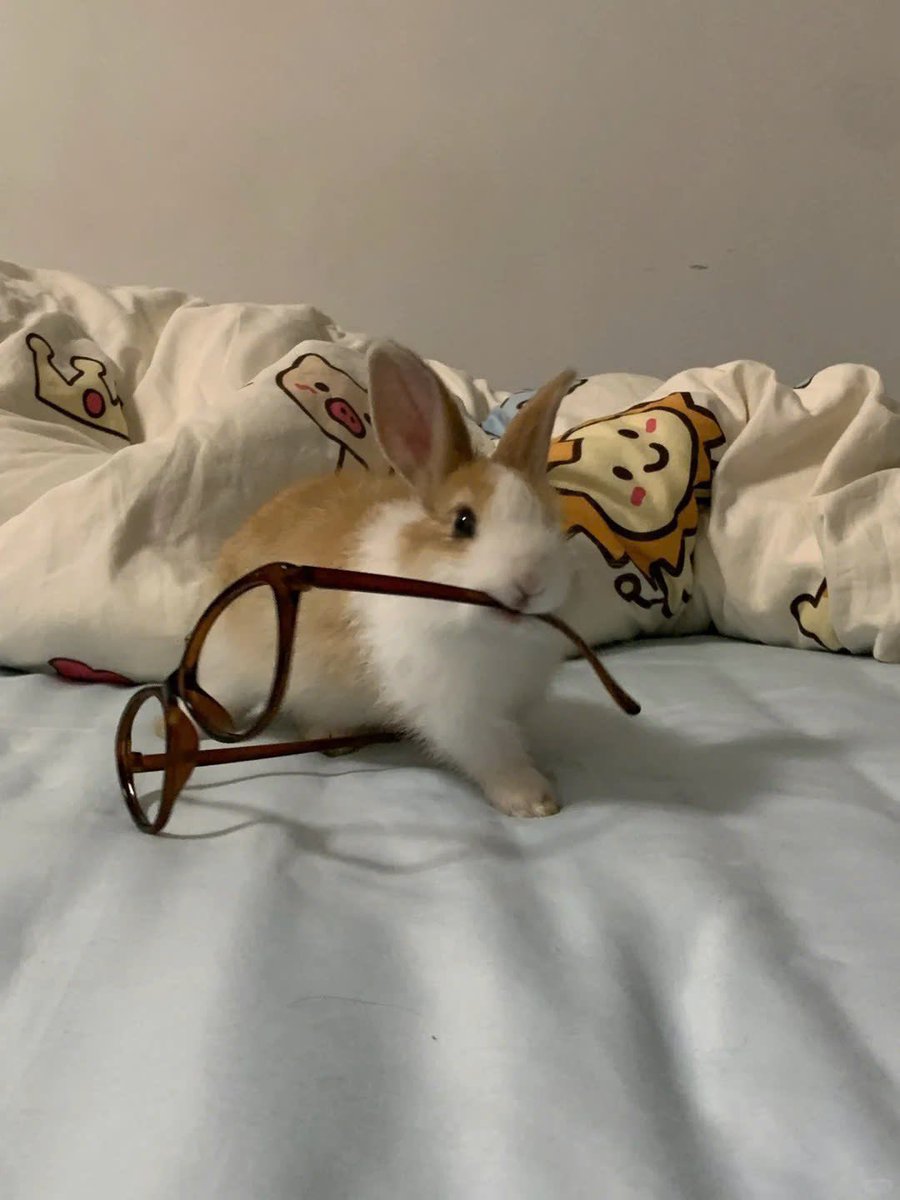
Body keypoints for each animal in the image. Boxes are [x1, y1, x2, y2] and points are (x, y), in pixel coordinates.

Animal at [206, 340, 578, 818]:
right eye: (463, 522)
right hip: (236, 668)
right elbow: (494, 754)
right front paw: (534, 800)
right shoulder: (457, 713)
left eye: (551, 523)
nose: (530, 582)